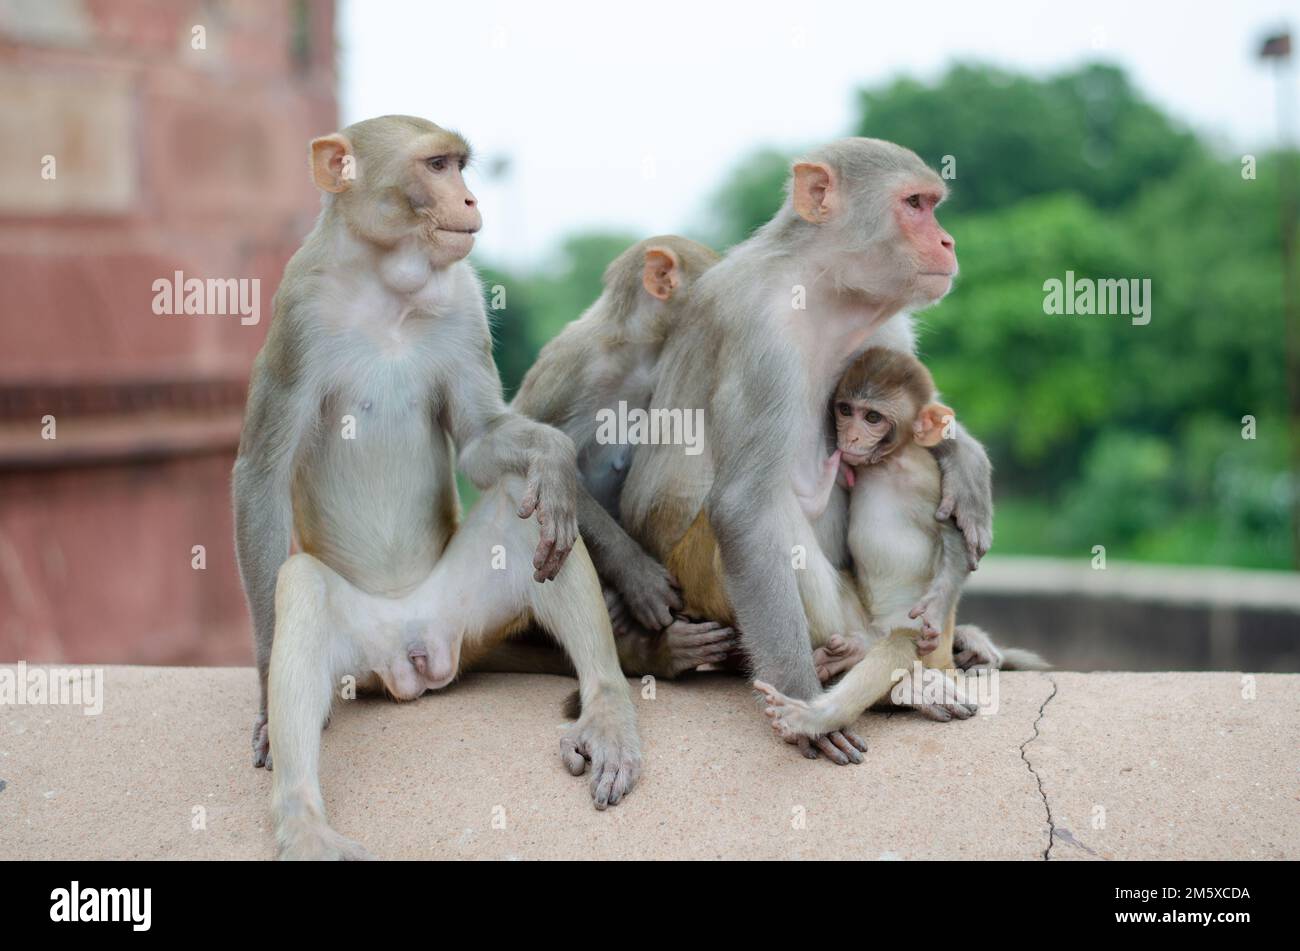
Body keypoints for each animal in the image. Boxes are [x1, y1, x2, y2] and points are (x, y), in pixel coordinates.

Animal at [236, 114, 642, 857]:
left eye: (459, 165)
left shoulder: (464, 298)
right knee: (301, 585)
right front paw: (261, 702)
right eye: (435, 166)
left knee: (520, 507)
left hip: (462, 617)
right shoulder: (297, 309)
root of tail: (410, 651)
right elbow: (262, 474)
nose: (471, 199)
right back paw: (303, 820)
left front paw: (554, 457)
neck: (385, 287)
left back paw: (606, 710)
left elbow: (484, 444)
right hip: (359, 659)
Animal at [759, 350, 977, 743]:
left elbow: (952, 530)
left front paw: (937, 606)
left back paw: (814, 717)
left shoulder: (927, 478)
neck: (889, 465)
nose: (851, 435)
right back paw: (849, 652)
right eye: (846, 410)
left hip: (920, 647)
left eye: (873, 417)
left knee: (899, 645)